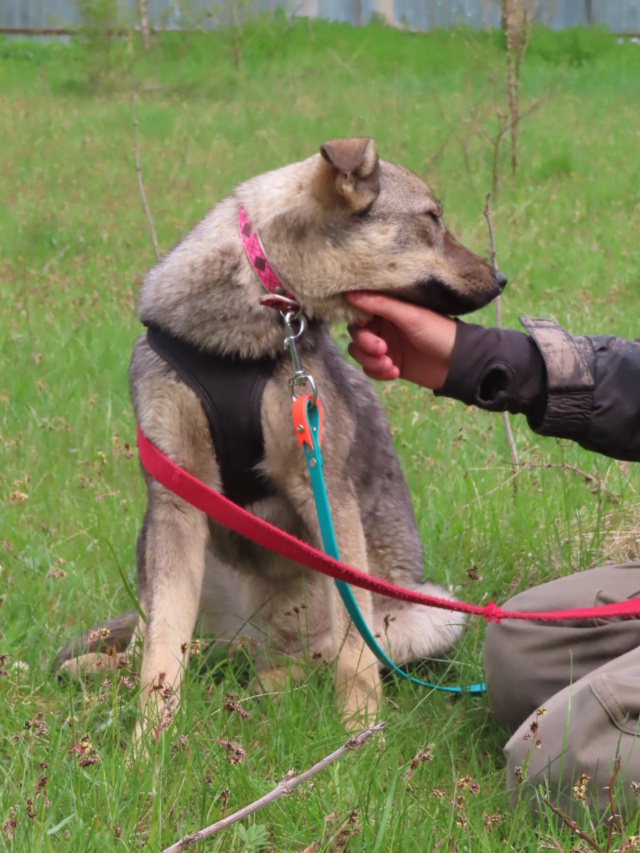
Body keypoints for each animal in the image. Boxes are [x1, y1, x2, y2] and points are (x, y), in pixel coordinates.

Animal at [60, 136, 508, 736]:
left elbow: (354, 650)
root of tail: (252, 638)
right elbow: (161, 655)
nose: (501, 280)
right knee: (177, 642)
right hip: (163, 555)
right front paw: (148, 745)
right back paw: (105, 668)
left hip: (427, 617)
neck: (248, 329)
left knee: (320, 656)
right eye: (431, 219)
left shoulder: (324, 490)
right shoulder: (177, 498)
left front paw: (360, 732)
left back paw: (271, 684)